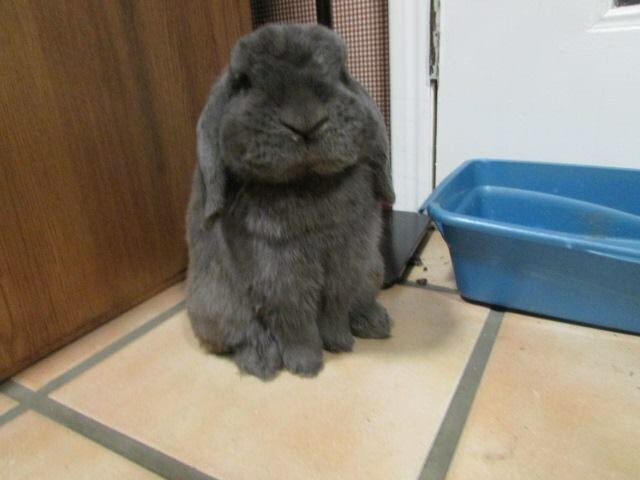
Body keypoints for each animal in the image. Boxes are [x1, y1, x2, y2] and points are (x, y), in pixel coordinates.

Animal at [186, 23, 395, 379]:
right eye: (244, 82)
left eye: (340, 72)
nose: (305, 121)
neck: (307, 181)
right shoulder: (278, 273)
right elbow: (294, 321)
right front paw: (306, 365)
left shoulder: (346, 262)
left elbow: (335, 307)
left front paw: (340, 343)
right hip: (218, 304)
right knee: (240, 336)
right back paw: (262, 362)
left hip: (372, 270)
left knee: (359, 301)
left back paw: (375, 322)